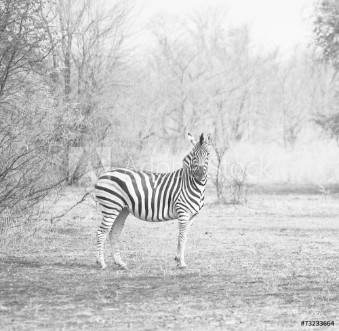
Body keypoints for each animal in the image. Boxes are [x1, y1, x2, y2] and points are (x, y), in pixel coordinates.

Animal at [95, 132, 211, 270]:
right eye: (194, 155)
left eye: (208, 154)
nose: (200, 174)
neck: (191, 183)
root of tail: (102, 176)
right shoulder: (183, 212)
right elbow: (182, 237)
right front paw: (182, 263)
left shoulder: (192, 216)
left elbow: (183, 237)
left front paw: (178, 260)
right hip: (110, 207)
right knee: (101, 232)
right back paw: (101, 263)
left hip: (122, 209)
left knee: (114, 233)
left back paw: (120, 263)